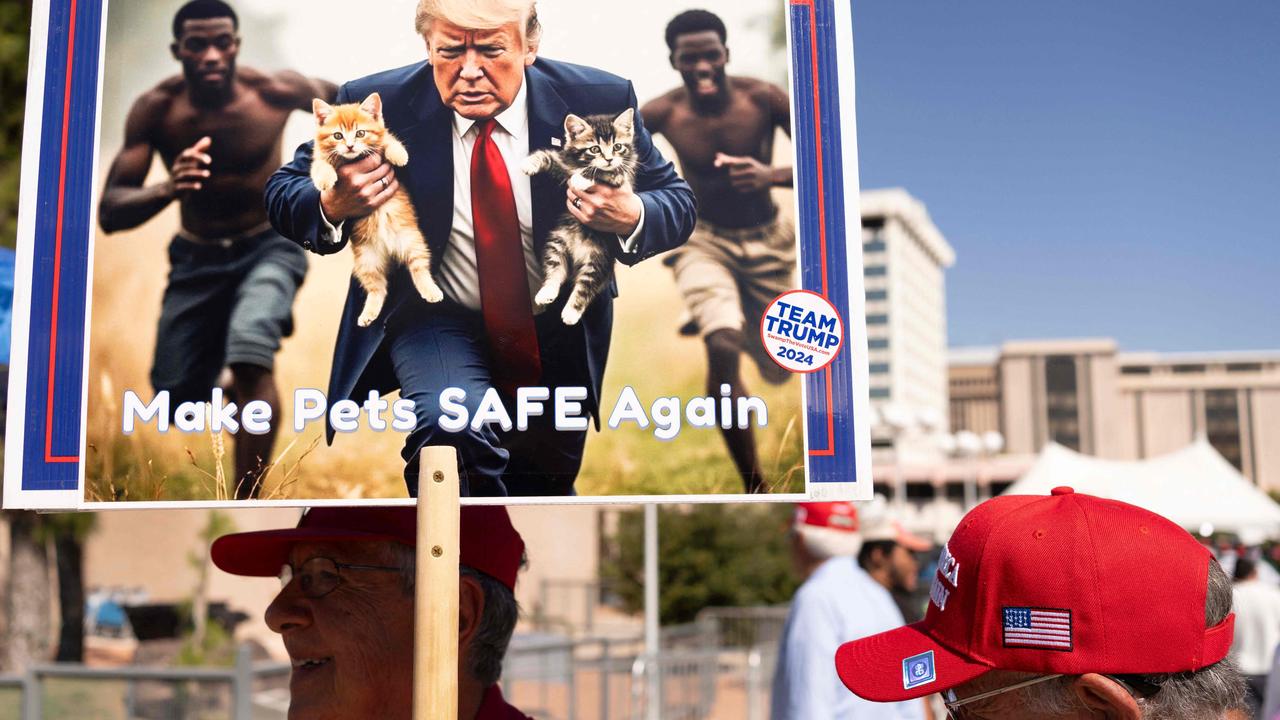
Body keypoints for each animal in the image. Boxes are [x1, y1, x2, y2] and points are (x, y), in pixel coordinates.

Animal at [308, 92, 440, 325]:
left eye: (360, 133)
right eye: (338, 136)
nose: (350, 146)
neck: (351, 159)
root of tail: (389, 250)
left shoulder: (381, 140)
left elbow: (388, 139)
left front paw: (399, 154)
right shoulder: (319, 159)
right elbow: (319, 166)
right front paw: (325, 179)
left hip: (412, 241)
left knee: (419, 267)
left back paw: (430, 290)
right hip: (366, 261)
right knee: (378, 288)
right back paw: (369, 314)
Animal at [522, 107, 637, 324]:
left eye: (617, 147)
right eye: (595, 149)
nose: (609, 158)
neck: (580, 164)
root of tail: (577, 255)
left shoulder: (621, 177)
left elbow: (604, 173)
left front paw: (583, 178)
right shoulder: (563, 164)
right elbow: (547, 156)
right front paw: (529, 164)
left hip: (599, 259)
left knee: (586, 286)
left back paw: (571, 312)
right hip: (557, 241)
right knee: (556, 269)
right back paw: (547, 292)